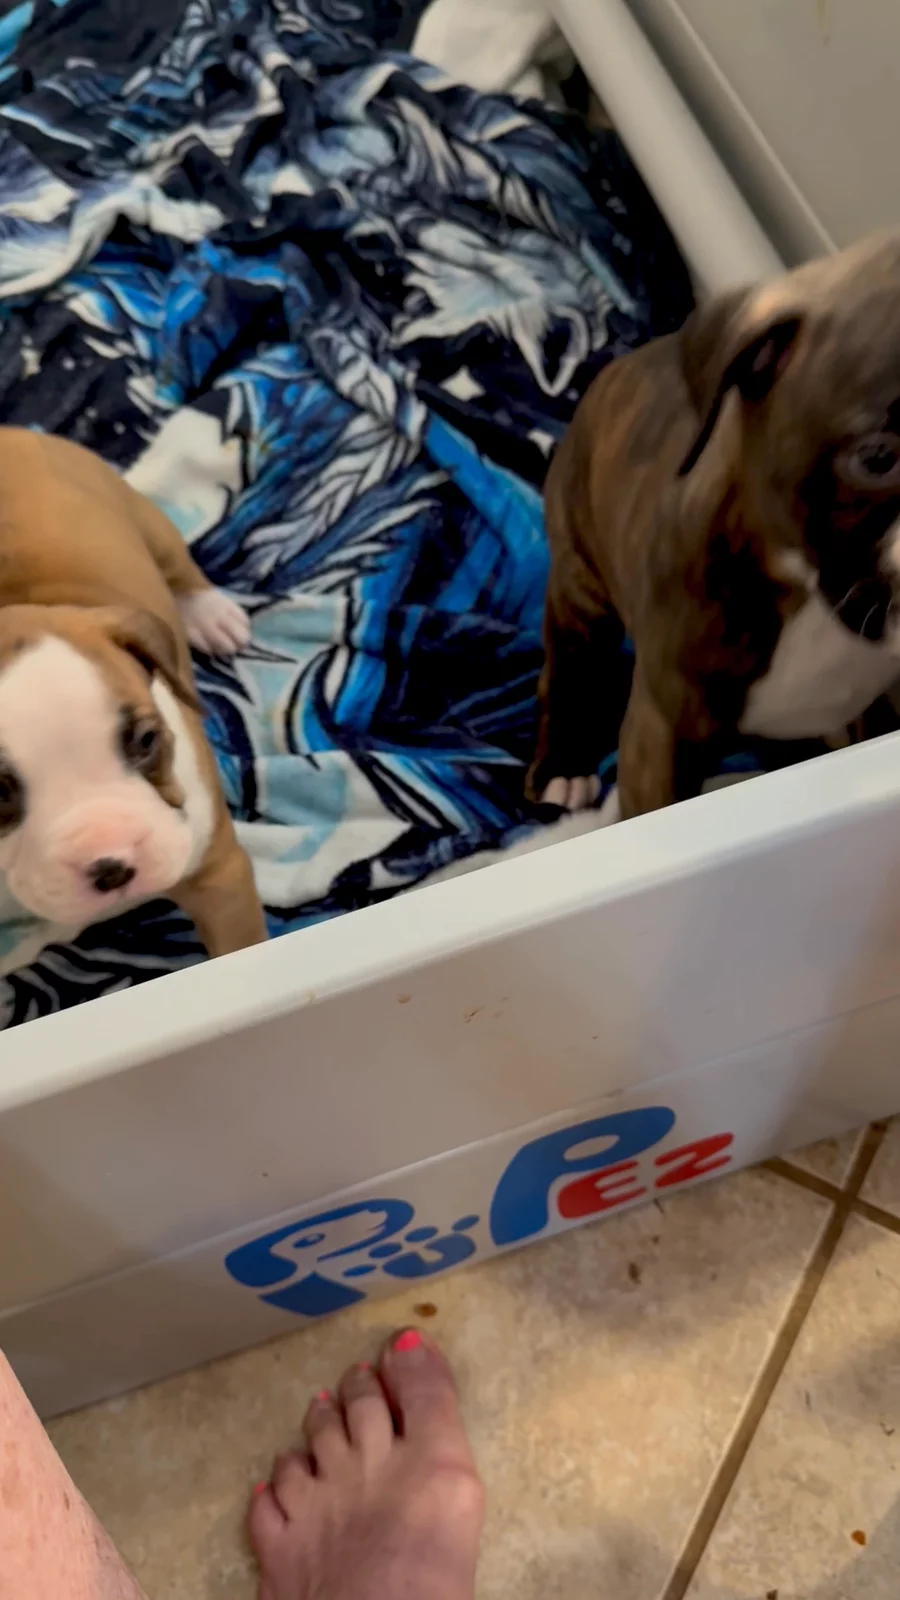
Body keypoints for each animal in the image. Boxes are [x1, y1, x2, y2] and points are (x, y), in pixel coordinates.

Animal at [0, 428, 266, 975]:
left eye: (145, 741)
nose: (112, 866)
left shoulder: (220, 877)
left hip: (144, 518)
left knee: (179, 565)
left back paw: (210, 614)